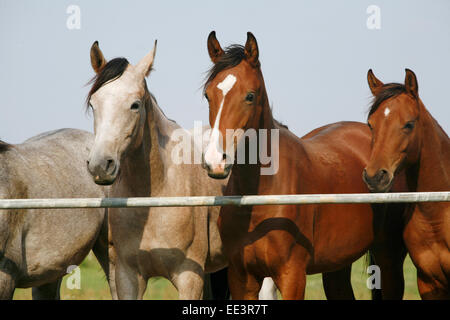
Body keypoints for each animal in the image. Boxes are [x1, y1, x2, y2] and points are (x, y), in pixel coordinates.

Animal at [201, 31, 408, 298]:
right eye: (208, 95)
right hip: (337, 266)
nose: (216, 161)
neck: (259, 197)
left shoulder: (292, 276)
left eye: (250, 95)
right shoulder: (240, 278)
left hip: (389, 258)